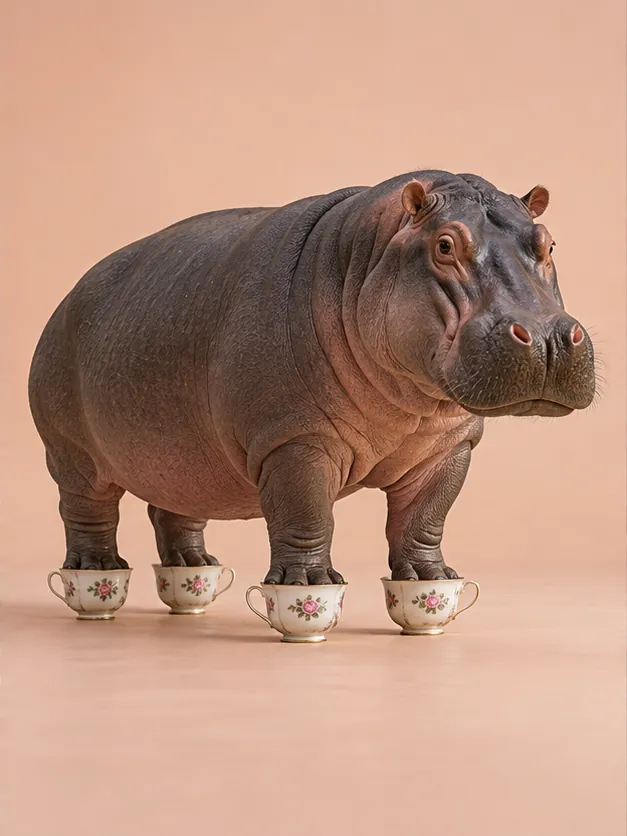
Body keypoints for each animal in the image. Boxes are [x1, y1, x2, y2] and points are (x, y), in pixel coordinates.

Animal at [28, 170, 596, 585]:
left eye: (548, 244)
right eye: (444, 245)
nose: (545, 337)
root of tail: (67, 296)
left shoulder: (448, 447)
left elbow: (424, 519)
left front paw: (428, 579)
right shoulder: (293, 440)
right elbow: (306, 515)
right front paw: (308, 585)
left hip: (186, 454)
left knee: (176, 509)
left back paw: (194, 567)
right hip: (72, 454)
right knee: (87, 511)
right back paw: (98, 571)